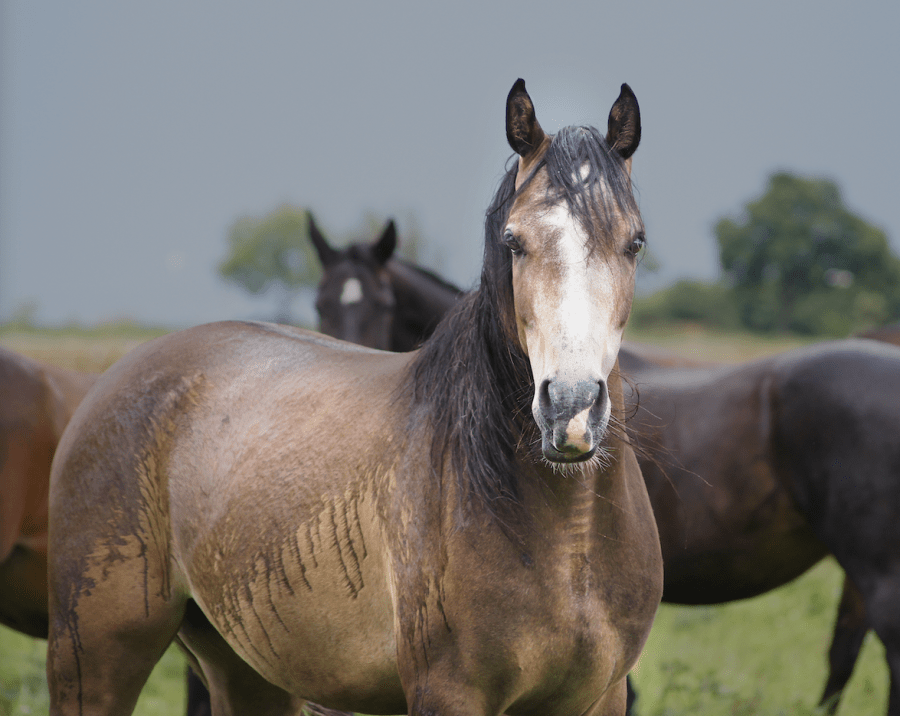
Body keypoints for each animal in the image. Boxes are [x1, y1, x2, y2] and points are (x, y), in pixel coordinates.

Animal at [49, 79, 664, 716]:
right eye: (513, 242)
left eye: (635, 242)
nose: (571, 409)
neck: (569, 541)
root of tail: (117, 377)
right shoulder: (447, 694)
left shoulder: (601, 697)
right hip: (94, 656)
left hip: (243, 668)